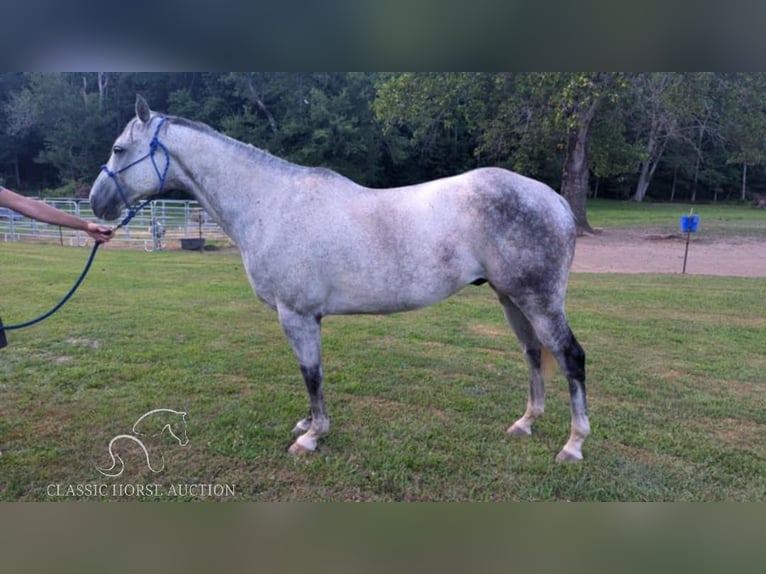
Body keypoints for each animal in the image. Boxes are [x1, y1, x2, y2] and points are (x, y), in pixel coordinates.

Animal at [91, 94, 592, 464]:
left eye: (119, 149)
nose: (96, 202)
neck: (270, 203)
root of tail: (553, 200)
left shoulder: (296, 315)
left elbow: (311, 374)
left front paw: (312, 436)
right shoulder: (305, 317)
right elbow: (310, 375)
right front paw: (307, 424)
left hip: (540, 300)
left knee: (570, 357)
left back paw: (573, 445)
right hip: (511, 299)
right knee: (532, 353)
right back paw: (525, 423)